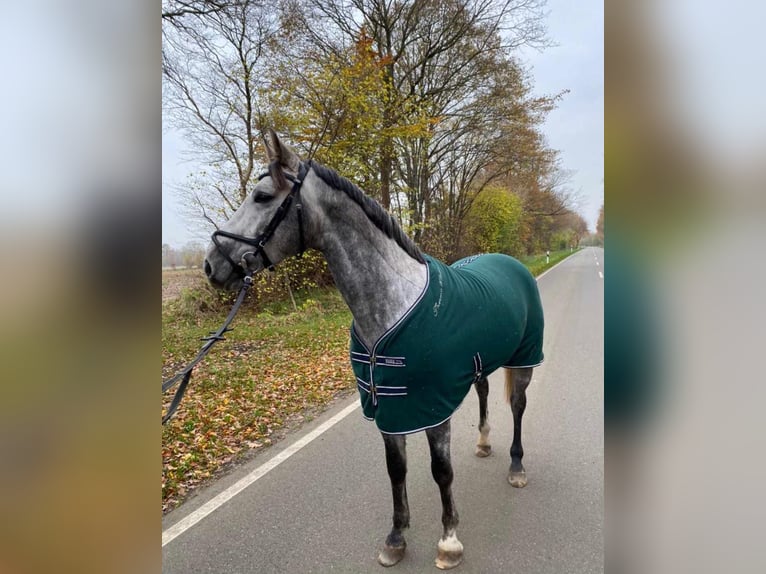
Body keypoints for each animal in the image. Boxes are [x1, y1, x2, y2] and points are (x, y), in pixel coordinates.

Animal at [204, 132, 544, 572]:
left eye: (262, 196)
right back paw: (484, 443)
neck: (391, 304)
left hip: (525, 360)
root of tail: (510, 263)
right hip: (479, 364)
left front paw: (449, 541)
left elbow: (441, 471)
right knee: (485, 393)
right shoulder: (388, 409)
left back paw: (517, 467)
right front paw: (396, 538)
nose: (211, 265)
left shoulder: (431, 410)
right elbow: (395, 470)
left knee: (518, 406)